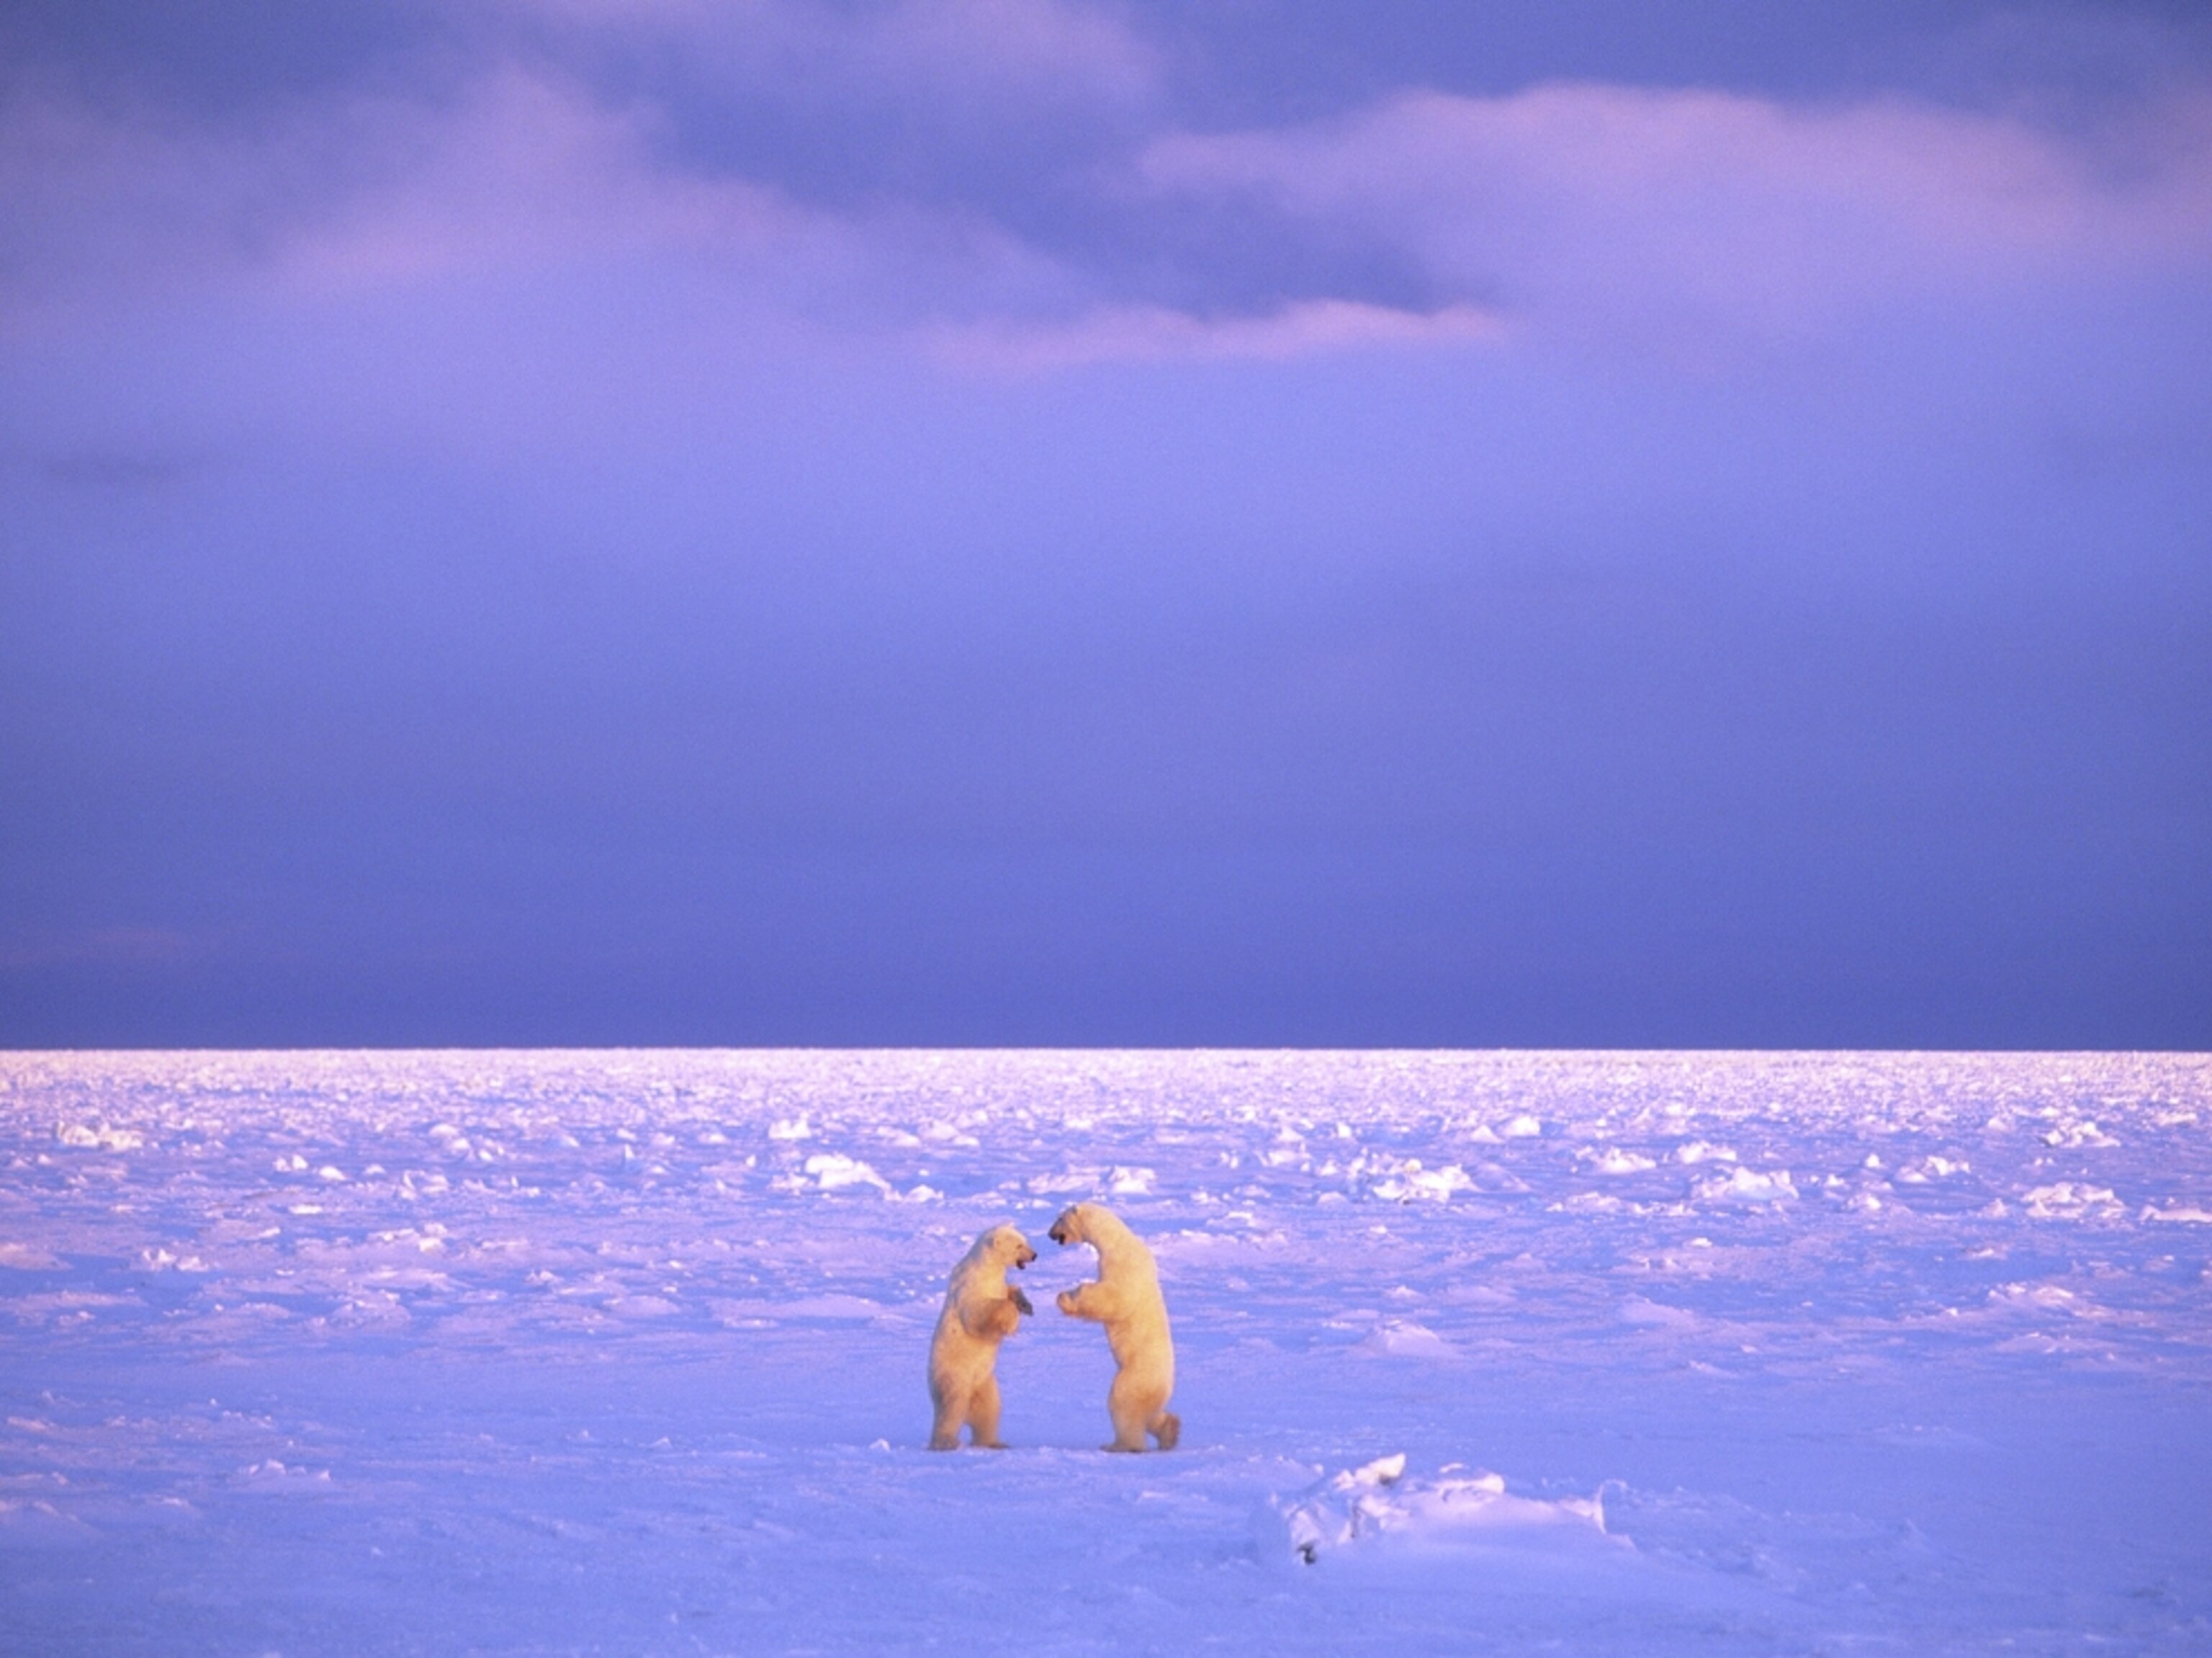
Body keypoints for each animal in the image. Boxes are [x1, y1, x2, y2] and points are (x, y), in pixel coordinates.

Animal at [927, 1223, 1037, 1450]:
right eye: (1019, 1245)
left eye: (1025, 1241)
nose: (1034, 1255)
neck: (986, 1268)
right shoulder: (970, 1289)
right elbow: (978, 1314)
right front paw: (1011, 1320)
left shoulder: (997, 1282)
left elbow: (1009, 1290)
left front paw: (1025, 1305)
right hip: (954, 1376)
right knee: (952, 1407)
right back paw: (945, 1442)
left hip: (983, 1381)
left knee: (989, 1409)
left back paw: (993, 1442)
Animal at [1047, 1202, 1180, 1452]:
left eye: (1059, 1219)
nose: (1050, 1234)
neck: (1117, 1239)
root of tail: (1164, 1386)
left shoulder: (1121, 1264)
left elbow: (1113, 1297)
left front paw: (1065, 1297)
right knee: (1151, 1415)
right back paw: (1171, 1432)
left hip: (1134, 1376)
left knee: (1124, 1404)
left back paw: (1120, 1445)